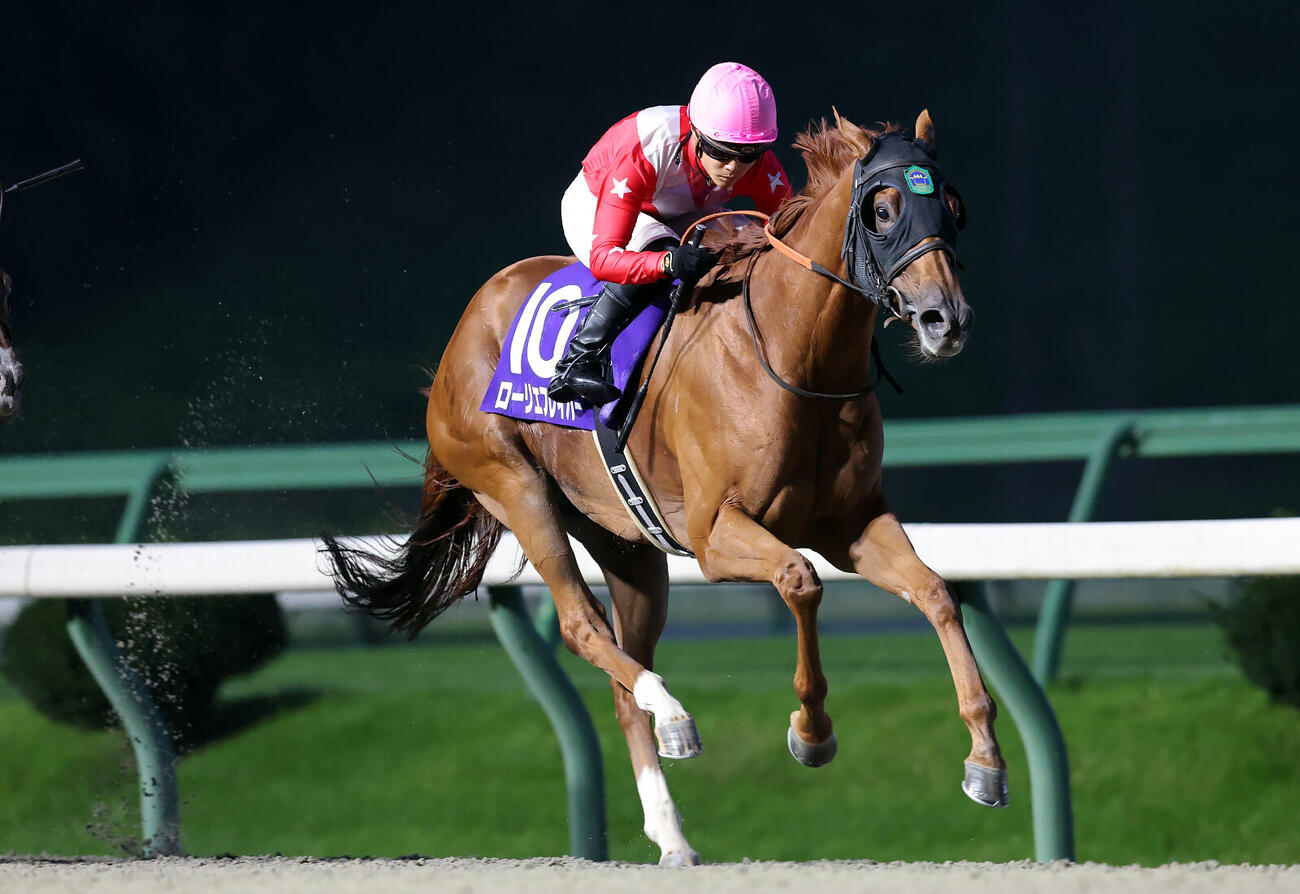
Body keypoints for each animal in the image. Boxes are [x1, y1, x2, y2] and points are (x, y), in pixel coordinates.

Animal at [323, 109, 1006, 866]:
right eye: (882, 212)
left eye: (951, 208)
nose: (948, 319)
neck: (795, 353)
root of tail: (466, 326)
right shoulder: (715, 534)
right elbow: (800, 582)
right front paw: (812, 732)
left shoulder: (852, 524)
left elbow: (936, 593)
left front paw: (985, 760)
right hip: (514, 486)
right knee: (582, 626)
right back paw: (672, 708)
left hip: (628, 545)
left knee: (623, 673)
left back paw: (672, 827)